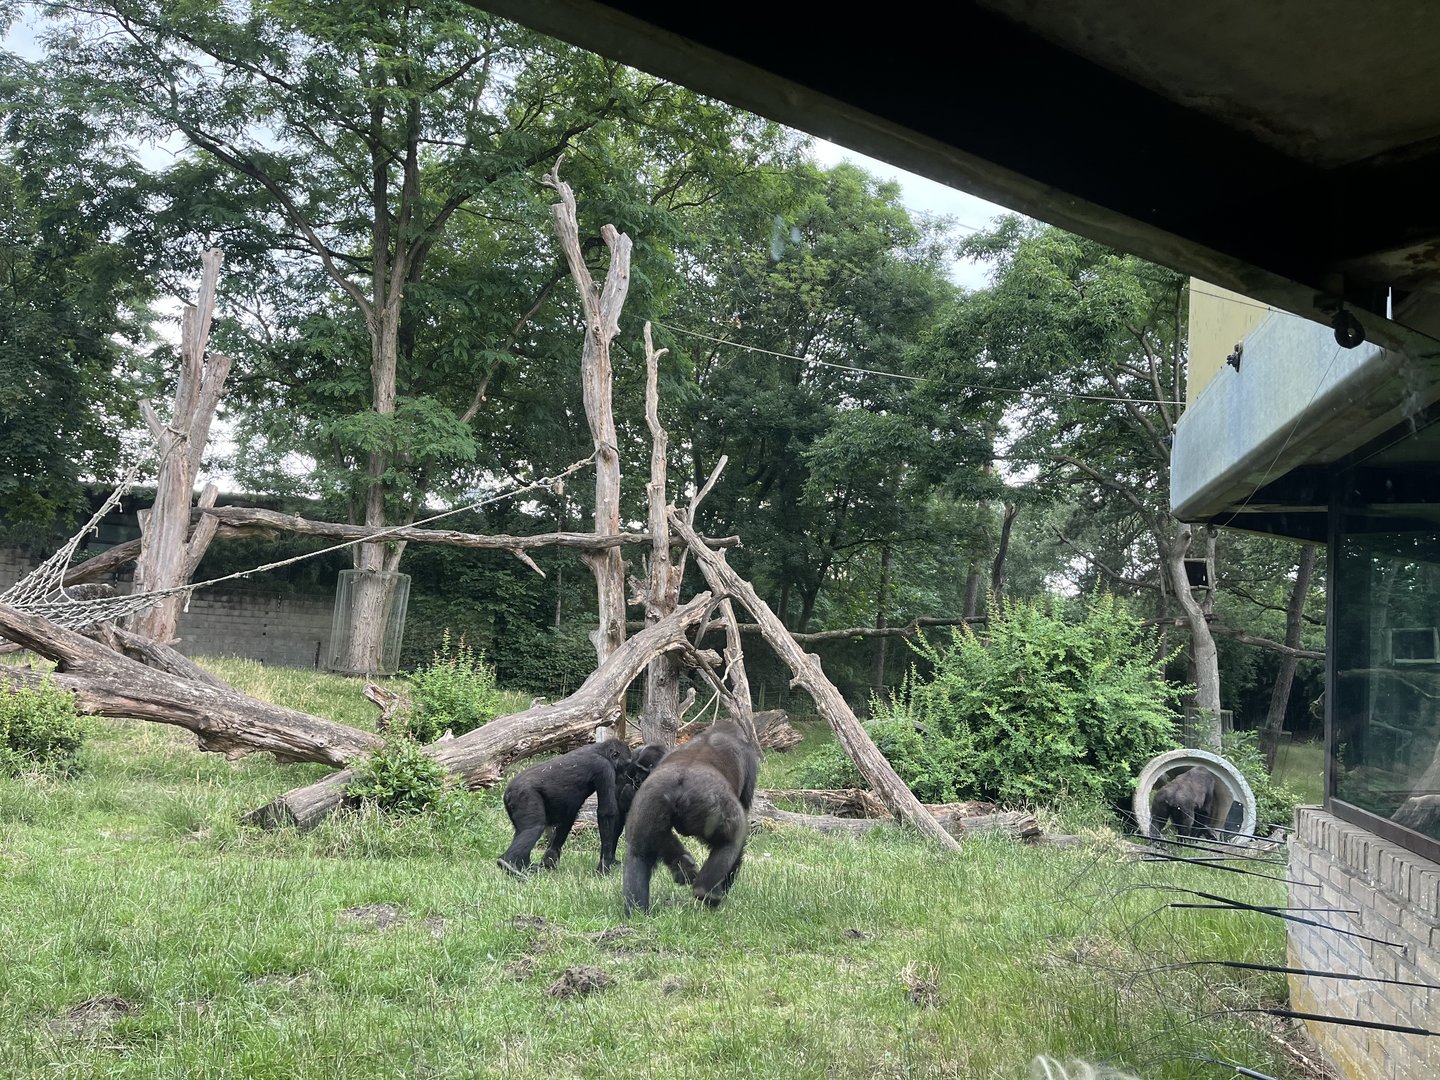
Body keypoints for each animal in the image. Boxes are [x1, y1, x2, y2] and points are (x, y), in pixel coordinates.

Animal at [497, 740, 632, 877]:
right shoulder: (605, 769)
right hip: (524, 795)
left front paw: (550, 858)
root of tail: (507, 792)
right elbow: (606, 813)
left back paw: (523, 866)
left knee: (522, 831)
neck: (601, 751)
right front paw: (605, 864)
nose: (626, 775)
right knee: (533, 829)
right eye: (627, 764)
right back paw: (509, 864)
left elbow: (568, 816)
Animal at [623, 721, 760, 915]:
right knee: (732, 839)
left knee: (638, 853)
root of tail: (681, 784)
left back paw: (636, 910)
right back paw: (707, 892)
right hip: (711, 803)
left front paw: (682, 865)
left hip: (654, 796)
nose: (636, 780)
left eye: (641, 771)